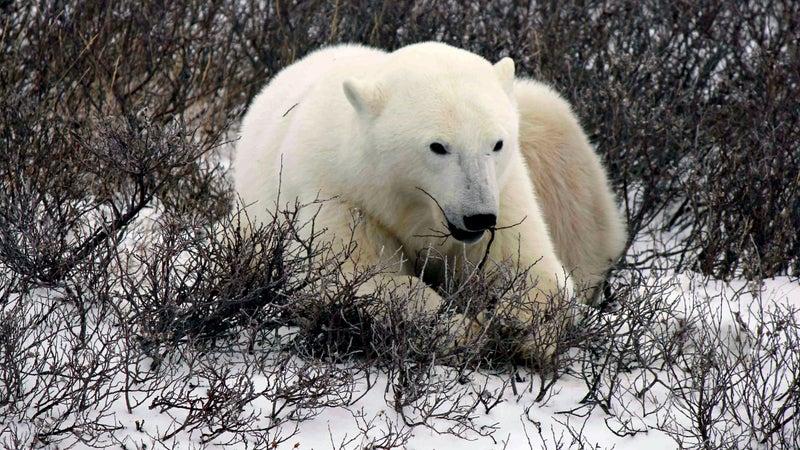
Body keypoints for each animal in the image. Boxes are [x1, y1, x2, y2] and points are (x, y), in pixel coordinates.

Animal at [231, 42, 624, 358]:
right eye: (438, 146)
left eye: (497, 143)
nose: (479, 216)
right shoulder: (340, 197)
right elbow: (352, 277)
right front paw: (464, 330)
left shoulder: (507, 191)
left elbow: (531, 269)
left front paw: (517, 325)